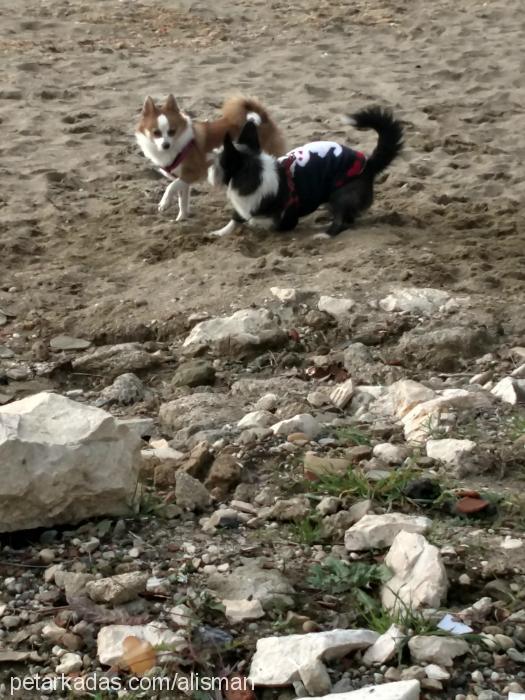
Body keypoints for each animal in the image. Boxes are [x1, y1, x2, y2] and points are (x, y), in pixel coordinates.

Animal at [133, 94, 284, 237]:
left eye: (172, 131)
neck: (178, 146)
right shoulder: (184, 180)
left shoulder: (191, 174)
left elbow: (171, 186)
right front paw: (181, 219)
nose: (166, 145)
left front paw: (164, 203)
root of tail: (264, 117)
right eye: (156, 133)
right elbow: (182, 200)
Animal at [207, 105, 404, 238]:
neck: (255, 173)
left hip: (341, 195)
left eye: (218, 163)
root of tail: (369, 164)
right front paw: (220, 232)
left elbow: (259, 222)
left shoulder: (286, 220)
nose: (209, 170)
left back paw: (325, 234)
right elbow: (236, 219)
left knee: (342, 220)